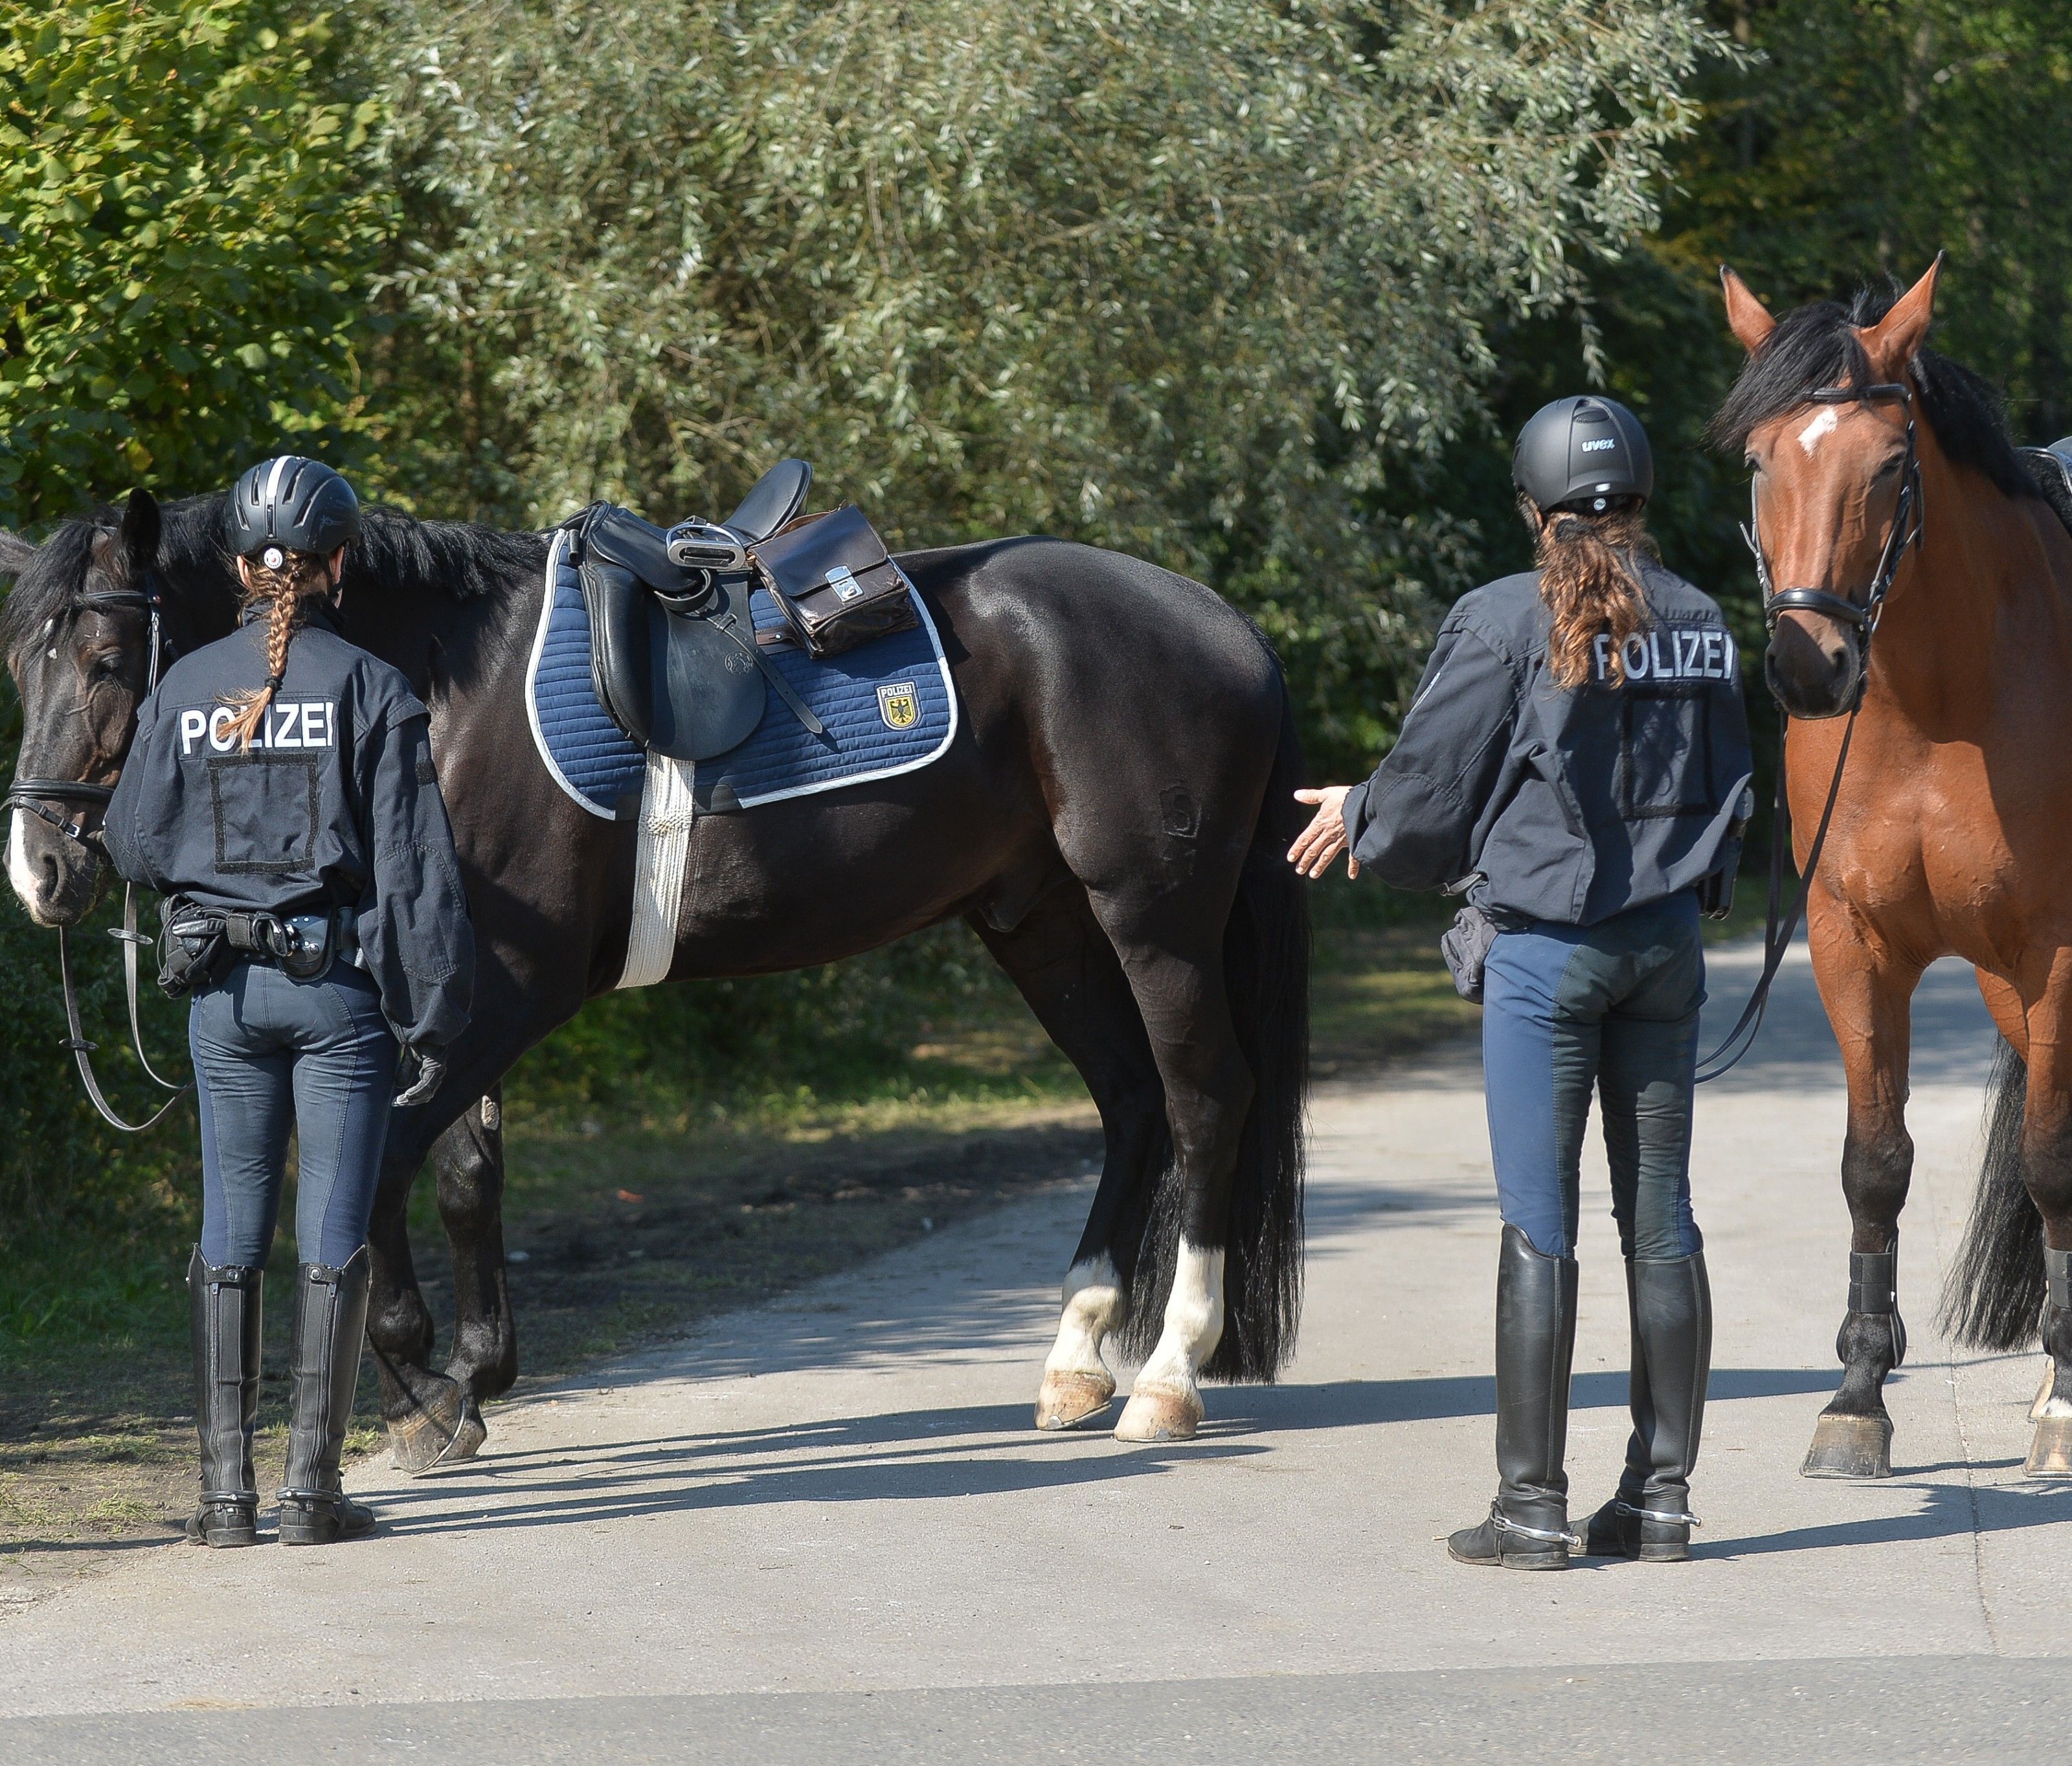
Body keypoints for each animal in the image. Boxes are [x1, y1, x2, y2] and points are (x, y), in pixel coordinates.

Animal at [4, 489, 1309, 1467]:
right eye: (22, 667)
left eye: (110, 659)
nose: (39, 868)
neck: (444, 693)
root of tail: (1229, 628)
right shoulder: (458, 984)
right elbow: (464, 1170)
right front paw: (476, 1369)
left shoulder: (514, 986)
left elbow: (393, 1157)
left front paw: (425, 1388)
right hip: (1039, 920)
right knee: (1132, 1101)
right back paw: (1075, 1360)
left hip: (1153, 918)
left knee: (1204, 1103)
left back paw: (1169, 1376)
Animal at [1707, 259, 2072, 1475]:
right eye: (1760, 460)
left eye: (1890, 465)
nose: (1807, 666)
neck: (1938, 704)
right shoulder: (1852, 942)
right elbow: (1875, 1162)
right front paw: (1858, 1396)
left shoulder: (2057, 952)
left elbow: (2052, 1161)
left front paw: (2063, 1409)